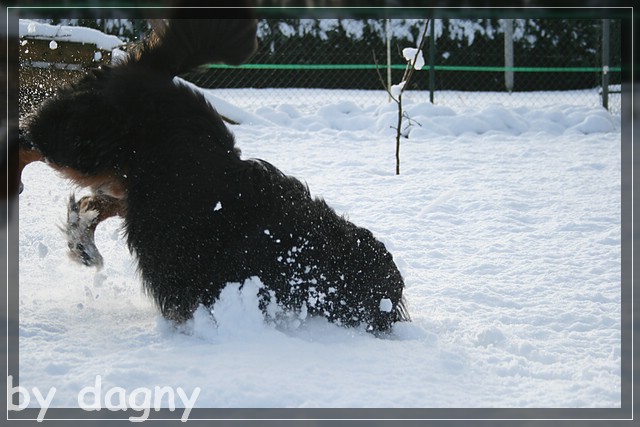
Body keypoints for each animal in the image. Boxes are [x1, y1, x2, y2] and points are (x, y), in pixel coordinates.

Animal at [21, 18, 410, 334]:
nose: (391, 318)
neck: (304, 245)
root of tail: (153, 69)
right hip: (83, 145)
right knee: (29, 138)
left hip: (131, 181)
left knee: (94, 201)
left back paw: (82, 241)